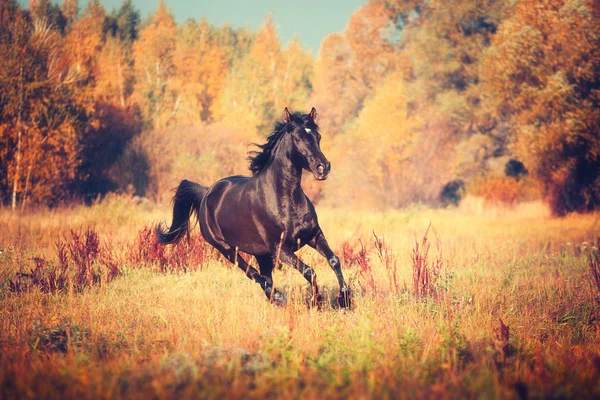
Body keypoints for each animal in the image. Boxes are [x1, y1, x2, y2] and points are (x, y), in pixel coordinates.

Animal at [156, 108, 352, 308]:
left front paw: (344, 299)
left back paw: (276, 299)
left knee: (264, 276)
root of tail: (206, 193)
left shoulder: (314, 235)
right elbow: (309, 271)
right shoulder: (280, 249)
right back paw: (279, 297)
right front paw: (317, 301)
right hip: (227, 249)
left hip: (261, 254)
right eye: (297, 138)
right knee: (253, 274)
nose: (322, 168)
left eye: (318, 136)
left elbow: (334, 260)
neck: (285, 199)